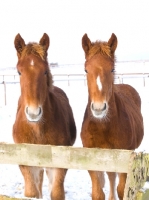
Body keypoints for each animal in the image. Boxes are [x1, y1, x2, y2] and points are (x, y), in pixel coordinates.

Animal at [12, 33, 77, 200]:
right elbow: (32, 192)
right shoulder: (27, 165)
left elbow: (56, 192)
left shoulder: (58, 165)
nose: (34, 112)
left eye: (45, 71)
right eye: (19, 72)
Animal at [81, 33, 144, 200]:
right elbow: (97, 193)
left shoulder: (124, 159)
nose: (99, 108)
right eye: (86, 70)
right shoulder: (91, 159)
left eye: (112, 69)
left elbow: (122, 189)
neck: (103, 128)